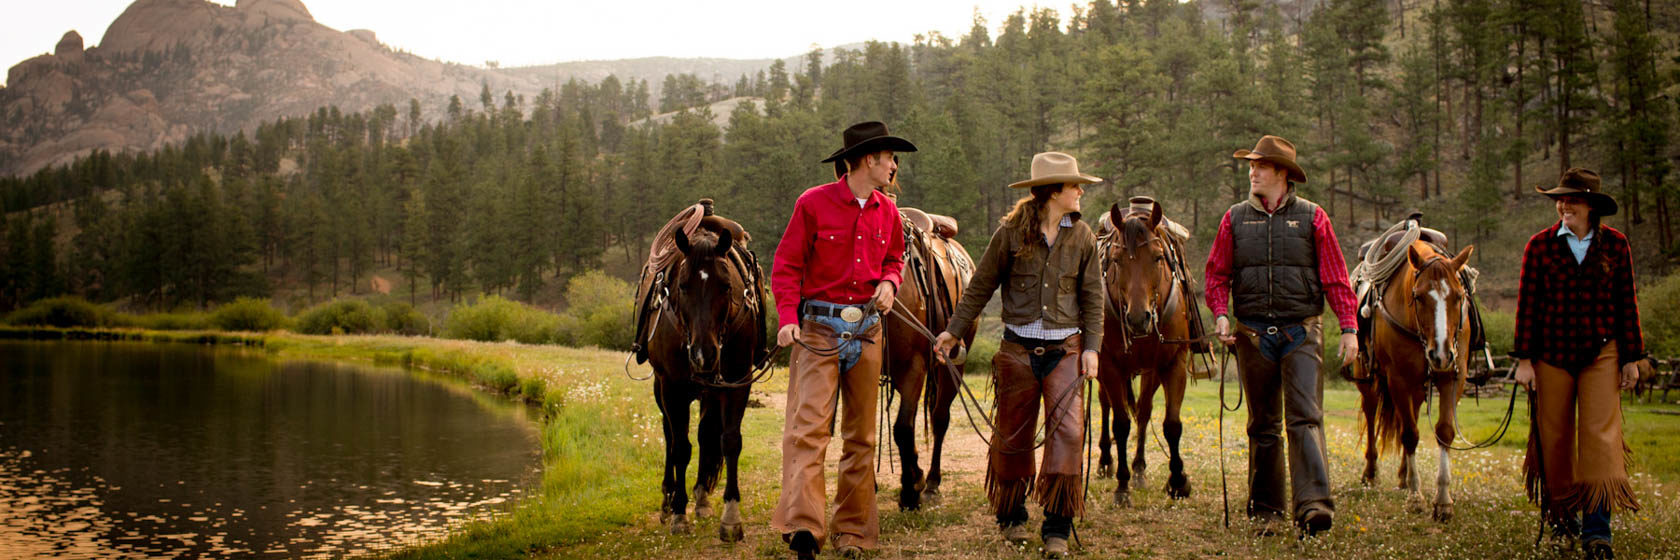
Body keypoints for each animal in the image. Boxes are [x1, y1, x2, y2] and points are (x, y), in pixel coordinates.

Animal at [645, 212, 769, 538]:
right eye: (683, 286)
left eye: (725, 286)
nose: (704, 354)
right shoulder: (672, 388)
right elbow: (680, 447)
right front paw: (678, 512)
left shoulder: (736, 382)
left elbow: (730, 441)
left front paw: (731, 517)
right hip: (662, 390)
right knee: (670, 436)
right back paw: (668, 499)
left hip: (711, 392)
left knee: (705, 434)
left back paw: (701, 498)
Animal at [880, 206, 974, 511]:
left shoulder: (913, 367)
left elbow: (902, 428)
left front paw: (911, 490)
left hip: (951, 368)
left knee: (939, 417)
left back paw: (932, 481)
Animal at [1095, 198, 1202, 504]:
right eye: (1116, 260)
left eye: (1157, 257)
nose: (1137, 318)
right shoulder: (1109, 365)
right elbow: (1120, 424)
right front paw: (1122, 485)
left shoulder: (1171, 363)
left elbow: (1171, 424)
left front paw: (1178, 481)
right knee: (1106, 405)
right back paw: (1106, 462)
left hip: (1149, 371)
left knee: (1143, 411)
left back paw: (1140, 469)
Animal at [1357, 237, 1478, 517]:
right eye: (1419, 296)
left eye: (1459, 296)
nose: (1441, 353)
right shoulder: (1398, 380)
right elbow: (1410, 434)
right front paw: (1415, 497)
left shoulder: (1453, 377)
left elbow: (1444, 431)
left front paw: (1443, 500)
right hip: (1368, 382)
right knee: (1372, 415)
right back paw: (1371, 473)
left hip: (1419, 388)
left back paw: (1403, 475)